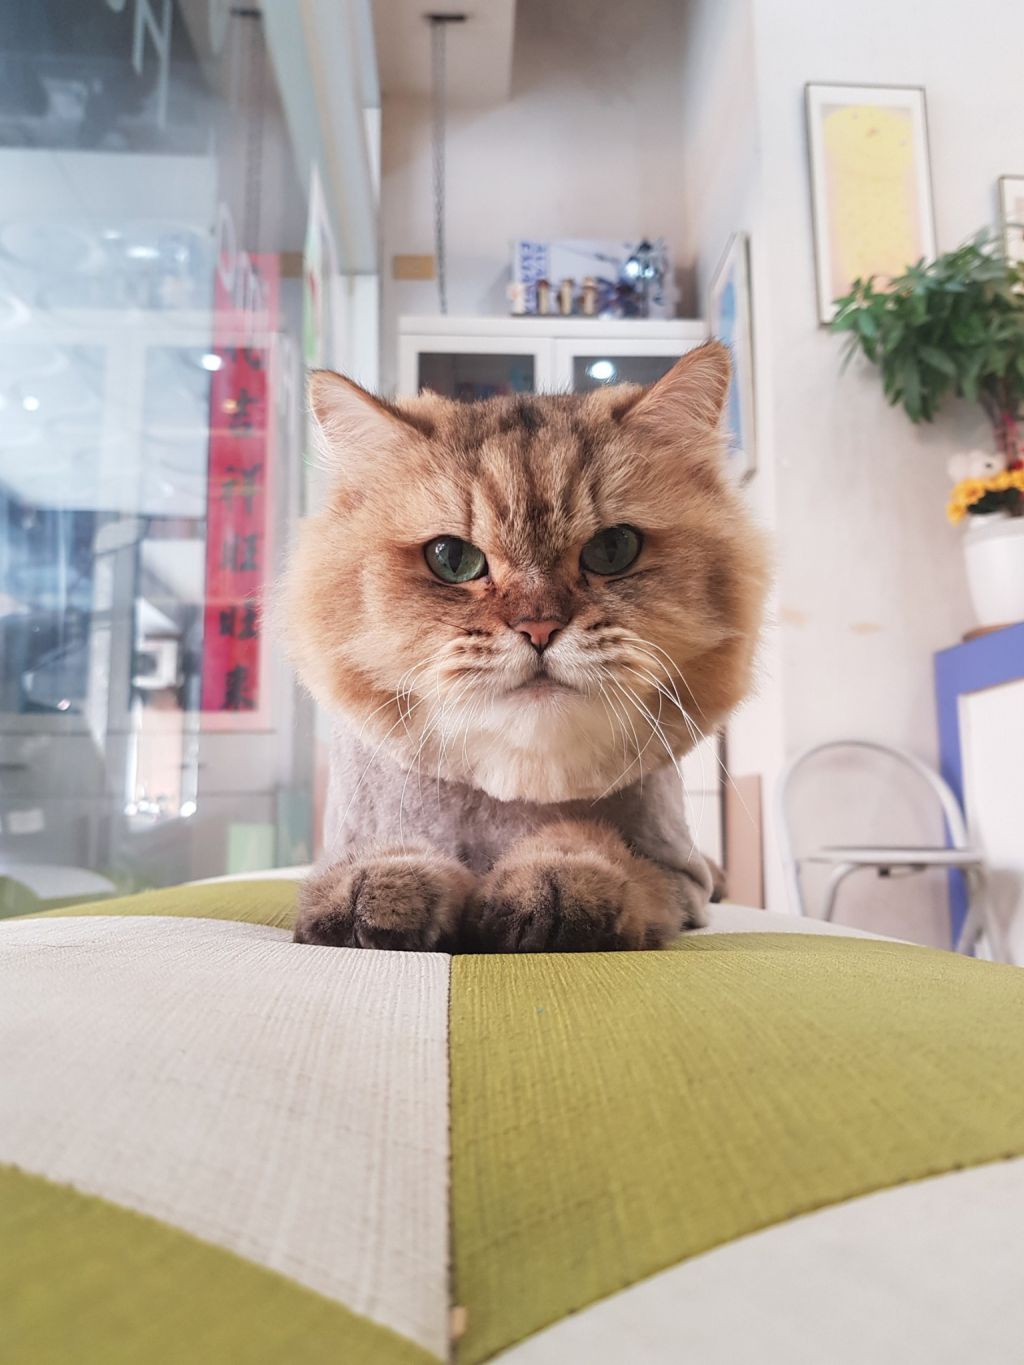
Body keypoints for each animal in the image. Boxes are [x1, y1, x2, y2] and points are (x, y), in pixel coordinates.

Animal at [281, 342, 769, 953]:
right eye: (451, 559)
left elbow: (596, 847)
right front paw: (379, 889)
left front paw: (556, 882)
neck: (519, 790)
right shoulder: (377, 822)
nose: (539, 628)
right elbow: (390, 852)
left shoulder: (678, 877)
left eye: (613, 550)